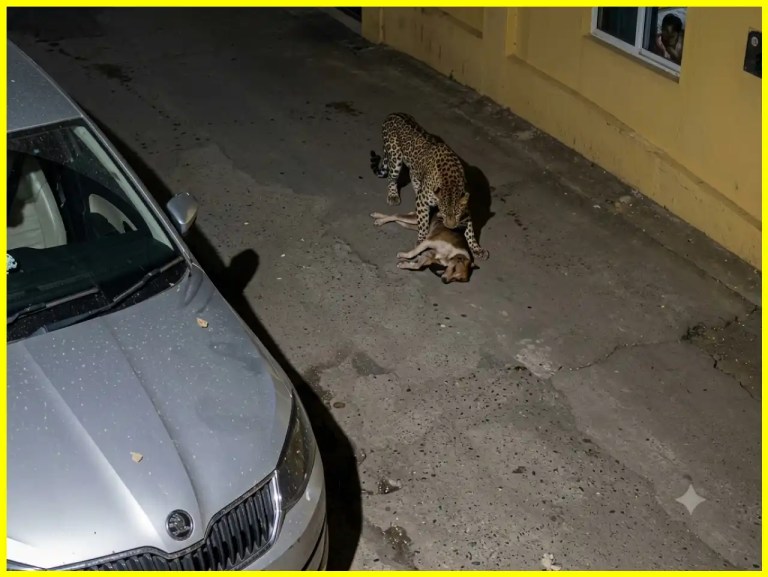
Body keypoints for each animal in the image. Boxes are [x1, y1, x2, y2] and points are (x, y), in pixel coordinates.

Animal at [369, 112, 489, 260]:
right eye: (443, 212)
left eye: (457, 214)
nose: (450, 227)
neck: (451, 184)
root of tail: (393, 113)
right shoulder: (422, 201)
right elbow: (423, 223)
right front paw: (421, 240)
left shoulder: (465, 209)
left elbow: (470, 231)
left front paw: (476, 248)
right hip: (395, 157)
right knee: (391, 179)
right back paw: (393, 195)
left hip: (414, 171)